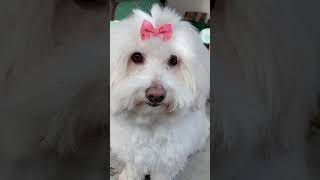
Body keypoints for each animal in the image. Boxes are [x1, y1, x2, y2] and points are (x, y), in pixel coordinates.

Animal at [110, 4, 210, 180]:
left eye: (173, 60)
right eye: (136, 57)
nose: (155, 95)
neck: (150, 122)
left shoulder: (167, 162)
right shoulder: (133, 155)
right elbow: (133, 168)